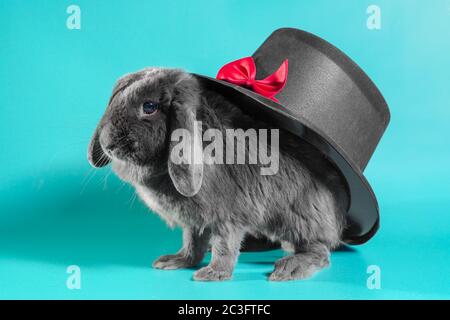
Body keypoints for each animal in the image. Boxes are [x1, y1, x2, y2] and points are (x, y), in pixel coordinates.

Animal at [88, 67, 348, 280]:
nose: (108, 144)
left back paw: (288, 269)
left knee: (319, 250)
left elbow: (225, 245)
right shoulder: (195, 220)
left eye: (149, 107)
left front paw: (213, 274)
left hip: (301, 220)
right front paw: (174, 261)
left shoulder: (228, 216)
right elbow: (192, 242)